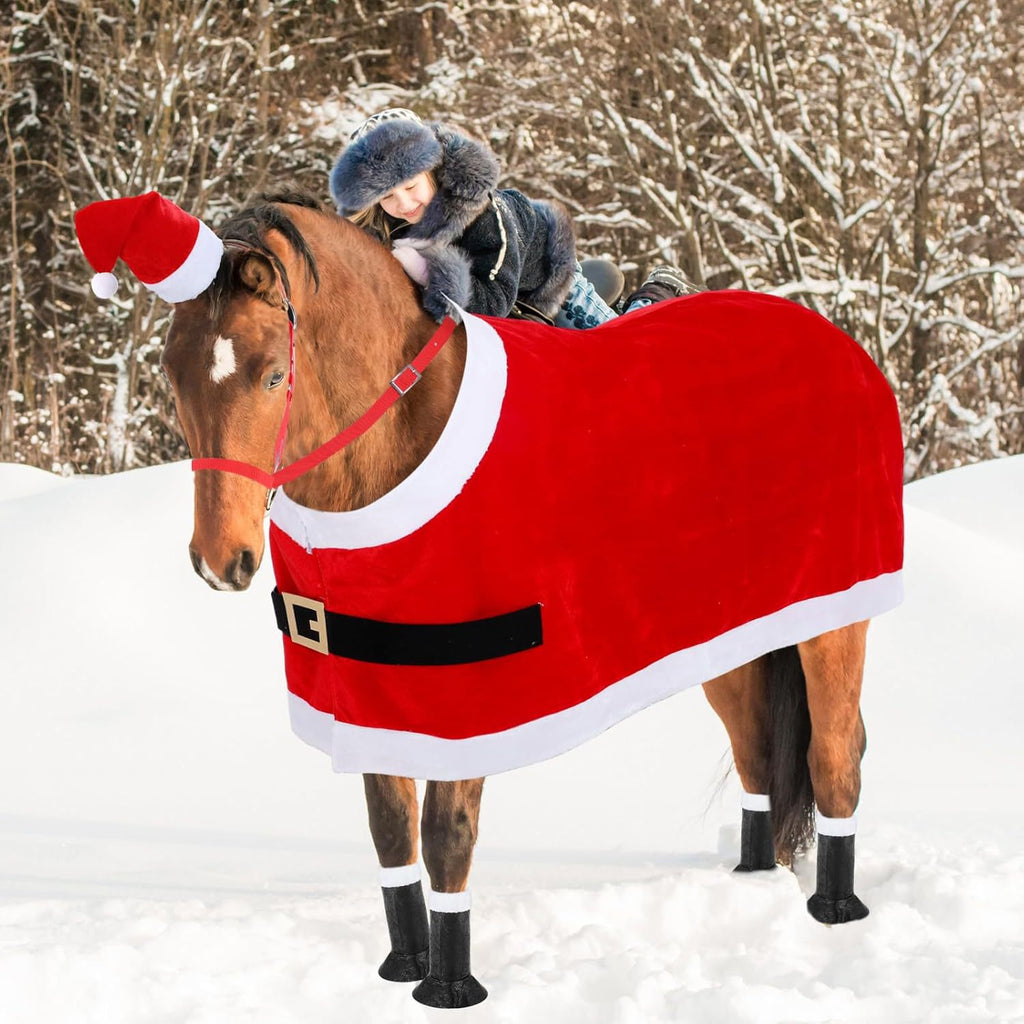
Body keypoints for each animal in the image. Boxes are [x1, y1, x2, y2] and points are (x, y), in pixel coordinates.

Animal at [160, 191, 904, 1009]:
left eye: (270, 376)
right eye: (173, 374)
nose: (220, 561)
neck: (394, 444)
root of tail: (838, 345)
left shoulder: (463, 696)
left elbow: (446, 835)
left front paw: (449, 986)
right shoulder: (372, 687)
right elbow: (390, 828)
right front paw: (402, 966)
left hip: (834, 618)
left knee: (835, 755)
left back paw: (834, 909)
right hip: (729, 634)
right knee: (758, 754)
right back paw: (749, 881)